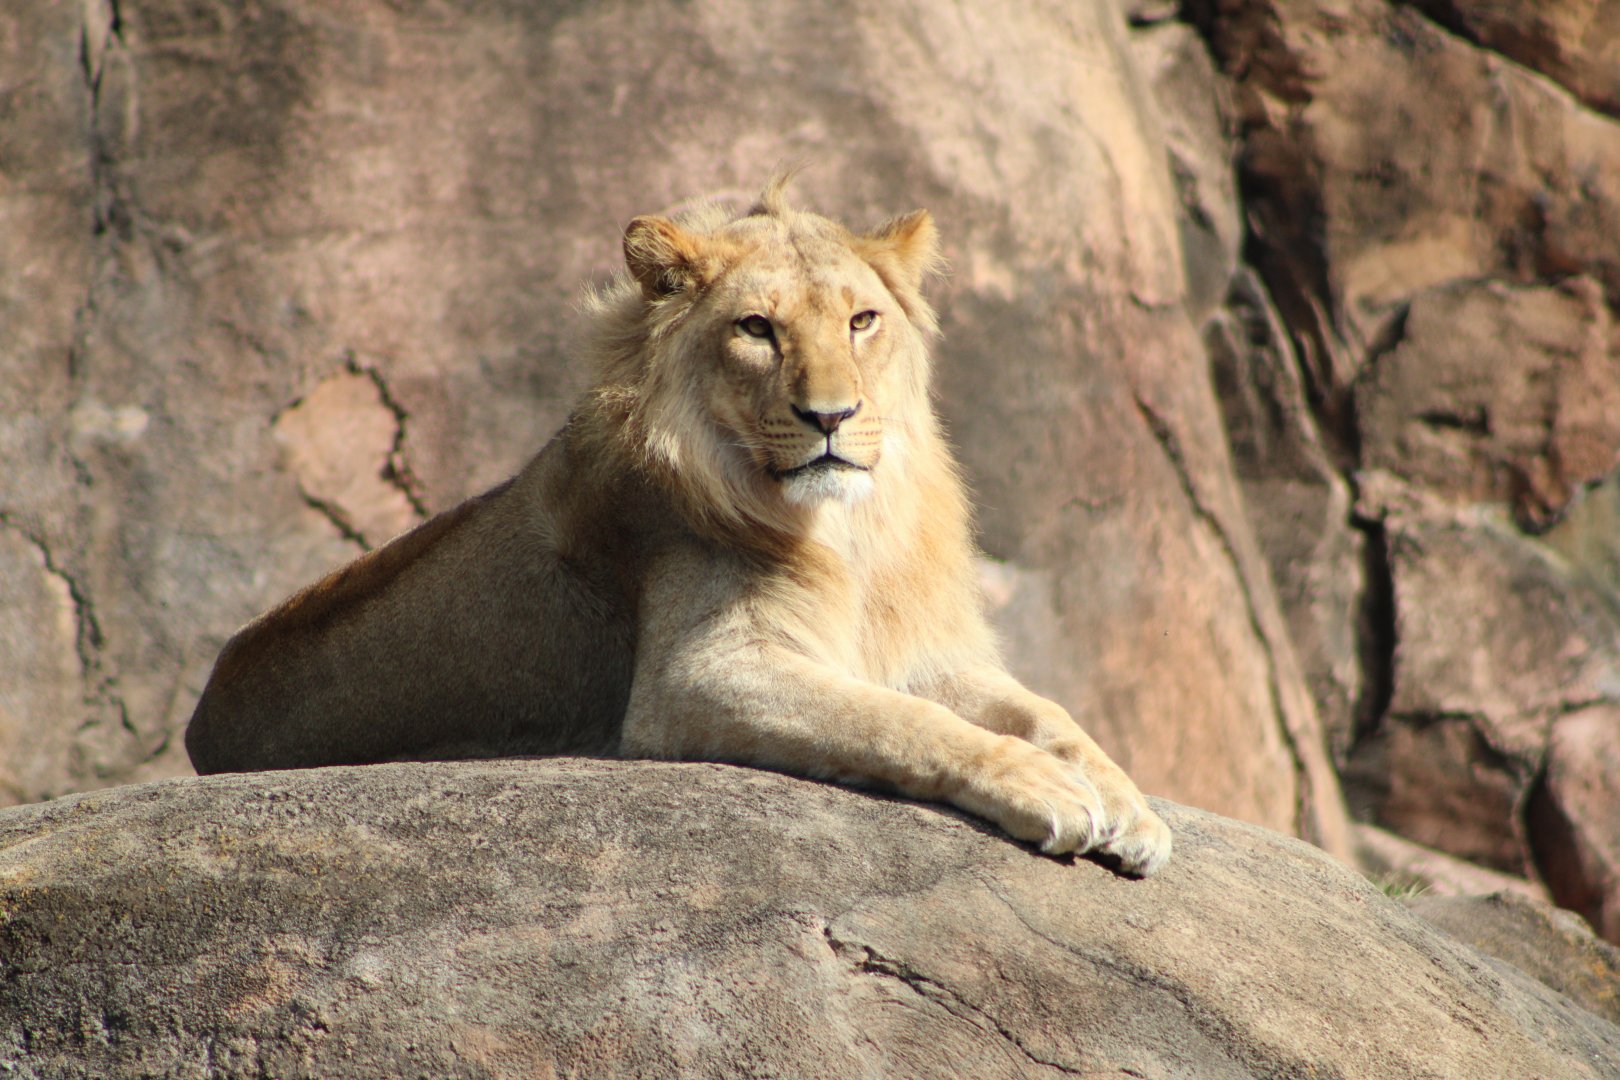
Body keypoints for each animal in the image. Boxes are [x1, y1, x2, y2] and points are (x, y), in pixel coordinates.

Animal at [185, 180, 1172, 876]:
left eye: (862, 320)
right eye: (757, 329)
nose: (832, 417)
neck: (848, 531)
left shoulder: (923, 649)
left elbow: (1045, 711)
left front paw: (1132, 806)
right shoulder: (698, 676)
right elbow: (901, 722)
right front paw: (1046, 788)